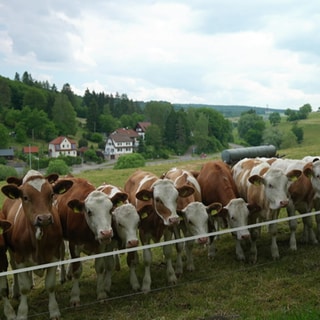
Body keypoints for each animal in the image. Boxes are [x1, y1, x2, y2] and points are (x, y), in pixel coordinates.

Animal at [0, 170, 72, 320]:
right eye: (25, 197)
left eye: (51, 194)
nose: (44, 218)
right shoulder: (20, 259)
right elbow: (24, 288)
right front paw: (22, 313)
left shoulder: (53, 257)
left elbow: (50, 285)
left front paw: (54, 310)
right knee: (14, 269)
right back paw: (16, 291)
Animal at [54, 176, 115, 306]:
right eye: (89, 212)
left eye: (110, 209)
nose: (106, 233)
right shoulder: (74, 244)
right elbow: (77, 270)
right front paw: (75, 297)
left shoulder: (101, 247)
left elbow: (100, 268)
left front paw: (101, 293)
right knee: (62, 254)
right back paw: (63, 275)